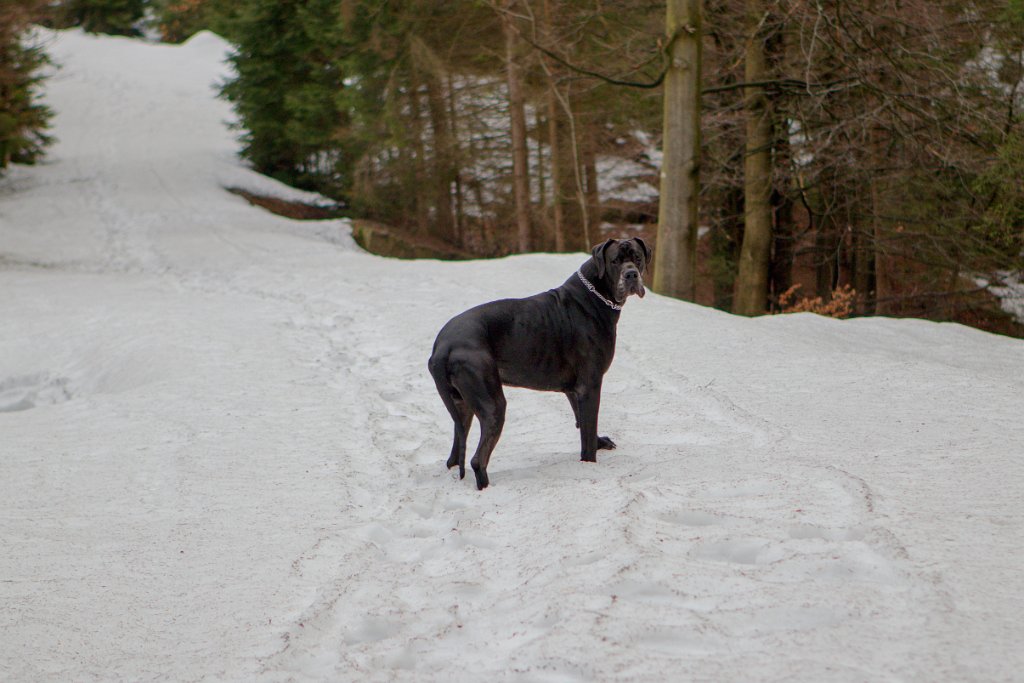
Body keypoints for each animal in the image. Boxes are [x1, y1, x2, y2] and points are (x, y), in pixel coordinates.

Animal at [428, 237, 651, 489]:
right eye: (615, 261)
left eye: (637, 258)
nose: (631, 274)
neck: (596, 295)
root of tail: (443, 347)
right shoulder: (590, 384)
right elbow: (587, 431)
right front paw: (590, 465)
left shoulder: (575, 390)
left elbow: (582, 421)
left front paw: (598, 443)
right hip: (492, 404)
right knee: (477, 458)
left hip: (462, 405)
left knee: (457, 451)